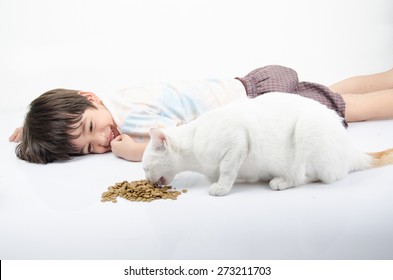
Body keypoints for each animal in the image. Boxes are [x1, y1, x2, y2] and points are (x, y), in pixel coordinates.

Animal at [141, 93, 392, 196]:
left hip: (307, 129)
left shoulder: (238, 140)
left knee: (306, 176)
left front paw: (221, 187)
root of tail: (352, 150)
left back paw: (280, 181)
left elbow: (226, 170)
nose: (147, 181)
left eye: (145, 168)